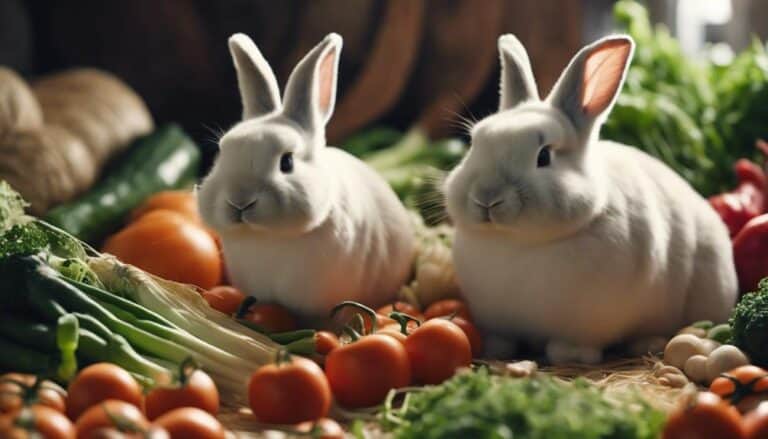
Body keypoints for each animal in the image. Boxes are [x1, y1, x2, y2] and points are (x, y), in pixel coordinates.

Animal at [443, 34, 738, 364]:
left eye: (543, 156)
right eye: (475, 143)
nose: (487, 198)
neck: (518, 242)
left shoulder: (588, 321)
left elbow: (575, 345)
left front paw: (568, 354)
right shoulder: (495, 319)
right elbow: (501, 338)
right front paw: (497, 350)